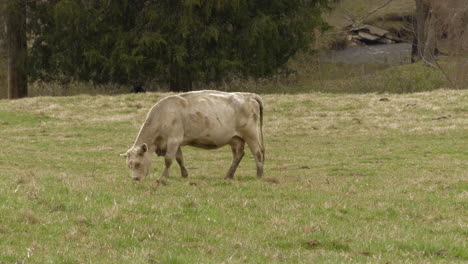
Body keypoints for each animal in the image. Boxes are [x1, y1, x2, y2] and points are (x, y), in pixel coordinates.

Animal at [120, 89, 266, 180]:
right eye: (129, 165)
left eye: (138, 163)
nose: (135, 179)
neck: (163, 114)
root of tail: (247, 95)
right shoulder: (175, 142)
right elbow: (179, 158)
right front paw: (184, 175)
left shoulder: (173, 140)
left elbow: (168, 159)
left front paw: (163, 177)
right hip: (235, 139)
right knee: (238, 155)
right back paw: (228, 176)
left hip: (251, 134)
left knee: (257, 152)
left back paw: (259, 176)